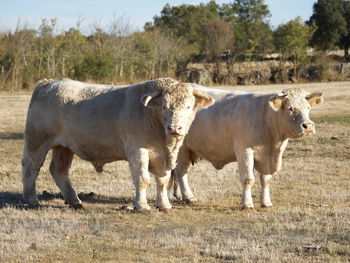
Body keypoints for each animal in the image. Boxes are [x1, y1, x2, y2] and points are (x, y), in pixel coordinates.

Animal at [23, 78, 213, 212]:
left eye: (188, 106)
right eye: (165, 106)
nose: (174, 128)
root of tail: (48, 83)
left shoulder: (162, 156)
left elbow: (163, 181)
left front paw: (164, 205)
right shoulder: (137, 150)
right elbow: (142, 179)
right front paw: (142, 206)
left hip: (64, 147)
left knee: (59, 170)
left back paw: (75, 201)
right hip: (37, 141)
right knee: (31, 167)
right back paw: (32, 200)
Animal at [172, 85, 322, 209]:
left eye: (308, 108)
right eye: (290, 108)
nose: (308, 126)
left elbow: (266, 180)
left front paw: (266, 202)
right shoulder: (244, 150)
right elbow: (248, 179)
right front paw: (247, 204)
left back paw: (177, 196)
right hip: (182, 149)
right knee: (181, 172)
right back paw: (189, 197)